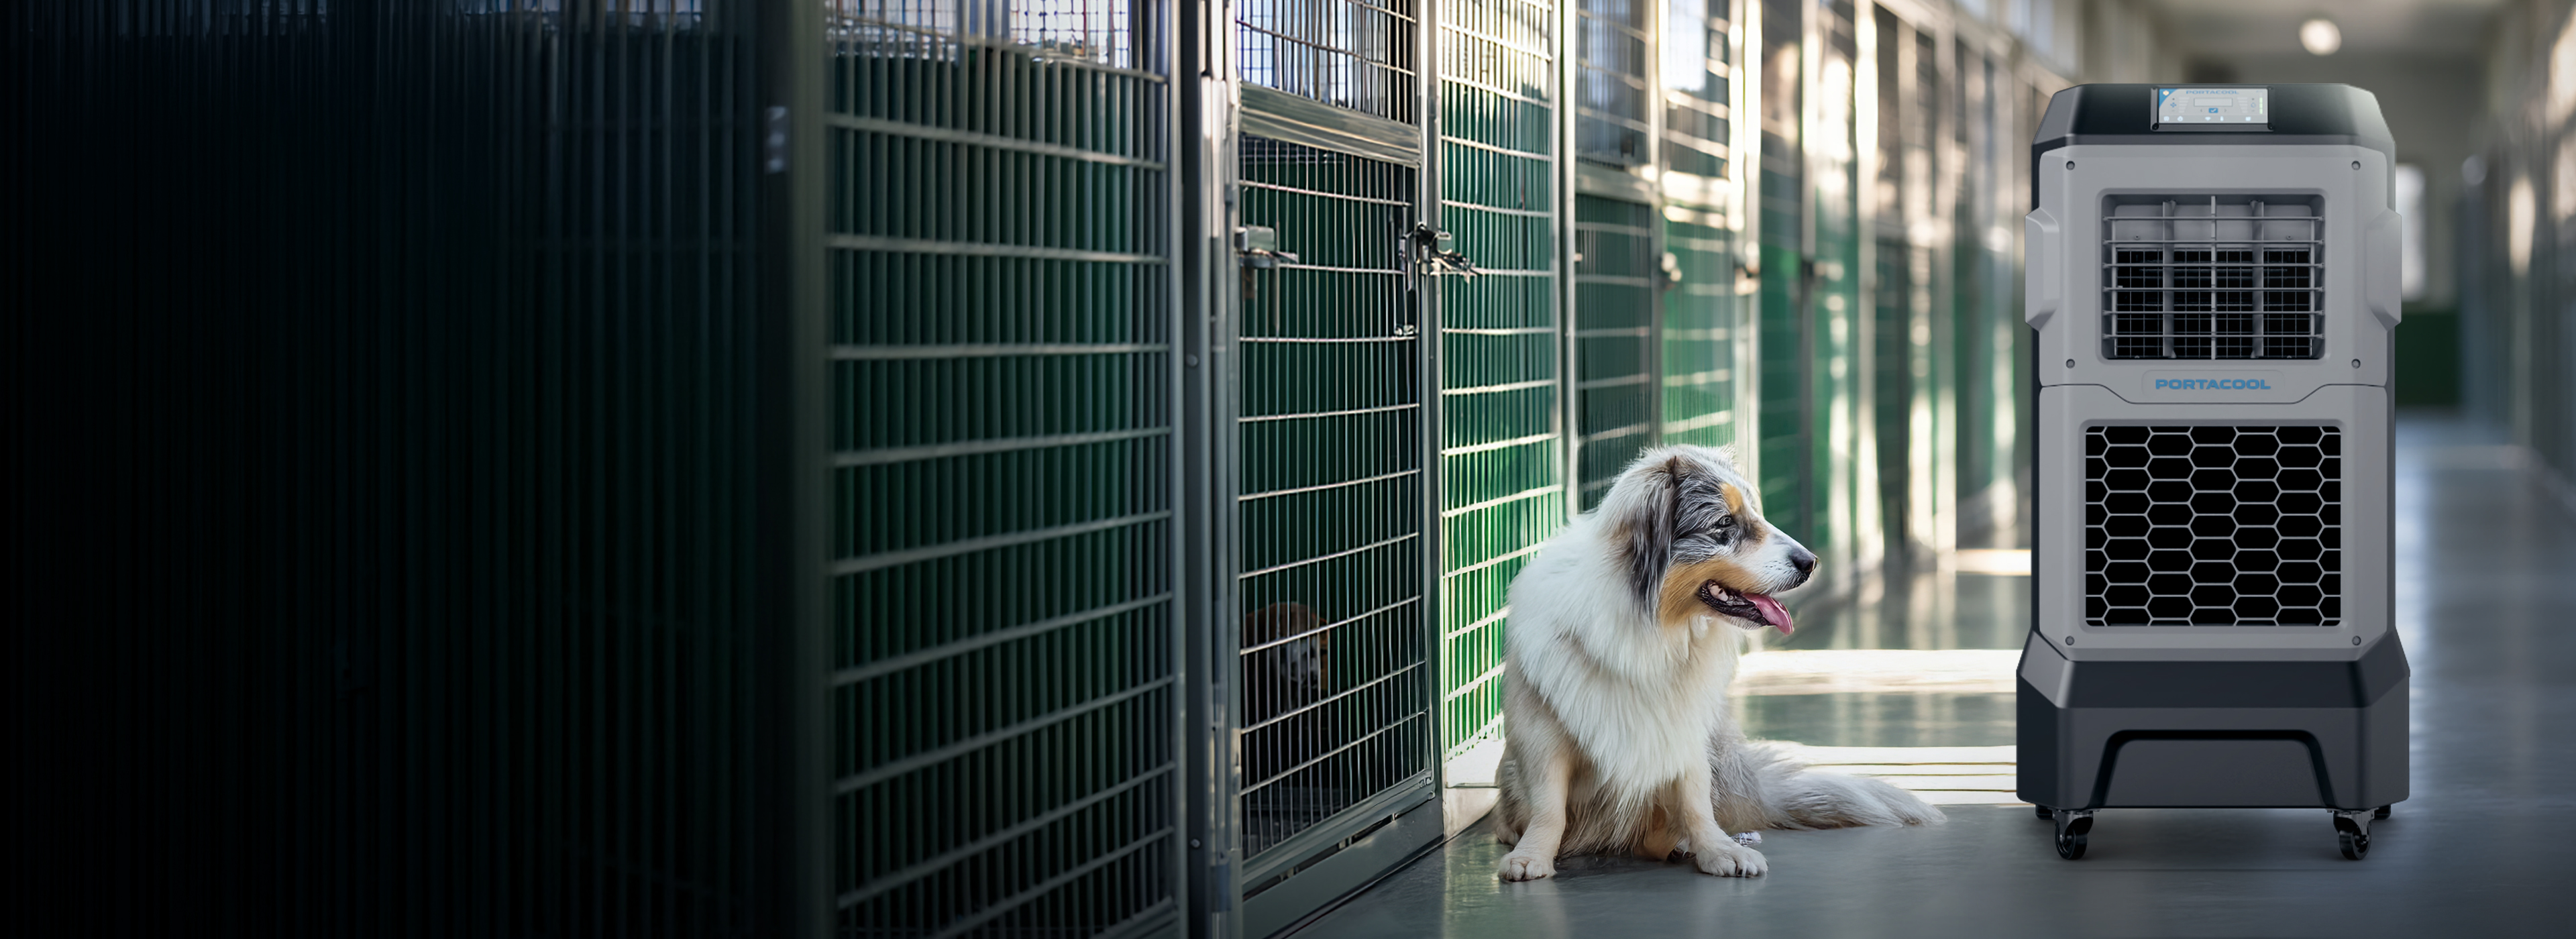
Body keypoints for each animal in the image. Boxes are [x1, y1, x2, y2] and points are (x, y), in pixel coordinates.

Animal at [1494, 445, 1937, 879]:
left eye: (1756, 514)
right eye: (1724, 522)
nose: (1810, 562)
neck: (1653, 631)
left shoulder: (1687, 723)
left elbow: (1694, 799)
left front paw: (1717, 849)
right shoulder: (1541, 732)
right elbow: (1549, 805)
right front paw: (1531, 855)